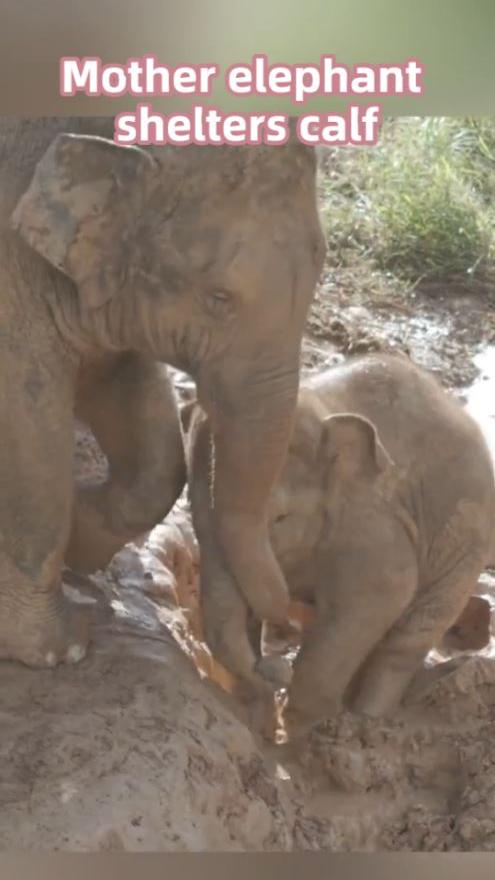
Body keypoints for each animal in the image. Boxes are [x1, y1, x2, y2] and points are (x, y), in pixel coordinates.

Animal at [0, 118, 325, 668]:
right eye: (219, 297)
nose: (282, 646)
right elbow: (31, 428)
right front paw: (59, 648)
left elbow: (149, 437)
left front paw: (81, 545)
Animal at [182, 353, 495, 726]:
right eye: (193, 512)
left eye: (281, 518)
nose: (272, 667)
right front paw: (260, 713)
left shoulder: (370, 525)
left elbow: (383, 595)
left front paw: (303, 726)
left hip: (464, 546)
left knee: (407, 639)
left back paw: (367, 721)